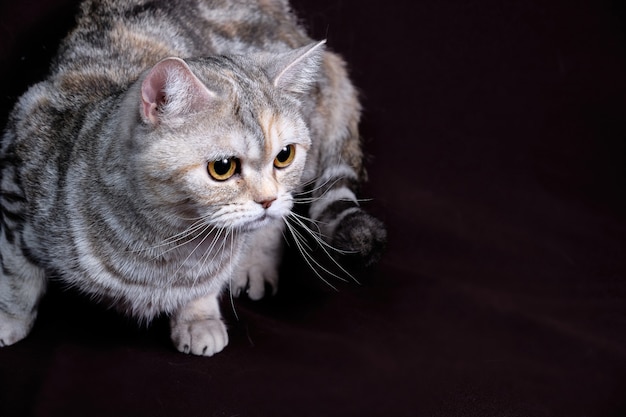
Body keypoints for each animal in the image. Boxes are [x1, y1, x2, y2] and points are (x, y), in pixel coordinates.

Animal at [0, 0, 386, 354]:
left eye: (284, 156)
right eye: (222, 167)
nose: (267, 199)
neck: (172, 246)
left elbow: (207, 283)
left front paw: (198, 318)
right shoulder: (15, 175)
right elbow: (18, 273)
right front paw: (10, 317)